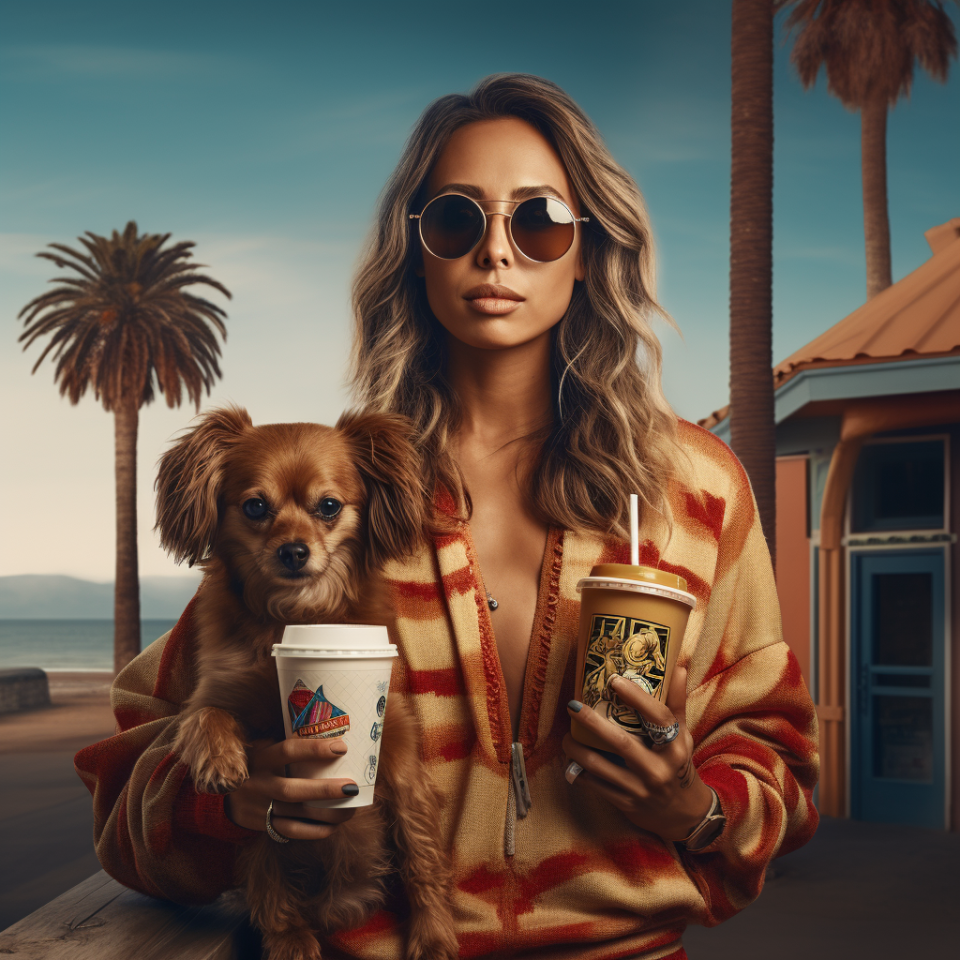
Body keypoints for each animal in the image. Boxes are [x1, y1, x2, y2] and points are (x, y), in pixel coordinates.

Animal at [153, 404, 458, 960]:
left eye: (329, 506)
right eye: (255, 507)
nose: (294, 551)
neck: (292, 616)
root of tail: (339, 903)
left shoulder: (398, 744)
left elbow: (421, 853)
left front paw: (433, 934)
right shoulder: (216, 691)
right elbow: (204, 715)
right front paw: (220, 761)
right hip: (258, 851)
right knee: (273, 899)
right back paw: (292, 941)